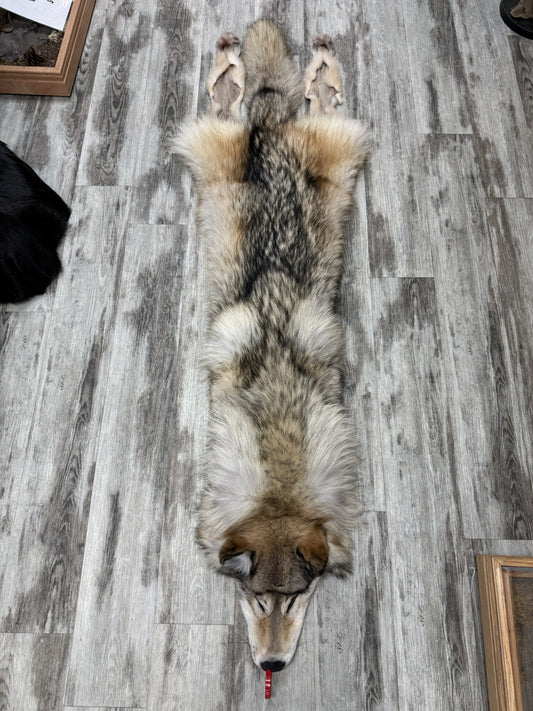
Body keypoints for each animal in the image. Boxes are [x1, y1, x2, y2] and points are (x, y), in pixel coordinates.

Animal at [174, 20, 369, 672]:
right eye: (257, 600)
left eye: (295, 599)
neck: (280, 479)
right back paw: (237, 67)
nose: (271, 668)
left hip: (334, 156)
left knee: (318, 101)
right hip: (218, 156)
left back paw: (312, 70)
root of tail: (274, 130)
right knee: (229, 102)